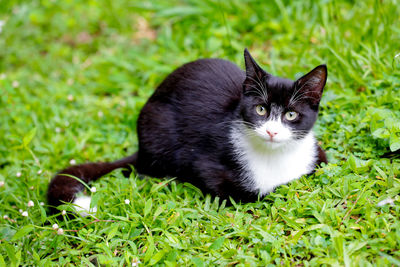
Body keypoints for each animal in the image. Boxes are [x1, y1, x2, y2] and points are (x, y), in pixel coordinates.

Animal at [47, 49, 328, 215]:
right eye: (260, 109)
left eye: (290, 115)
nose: (271, 132)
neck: (275, 156)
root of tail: (141, 150)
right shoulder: (205, 164)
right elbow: (244, 194)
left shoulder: (314, 155)